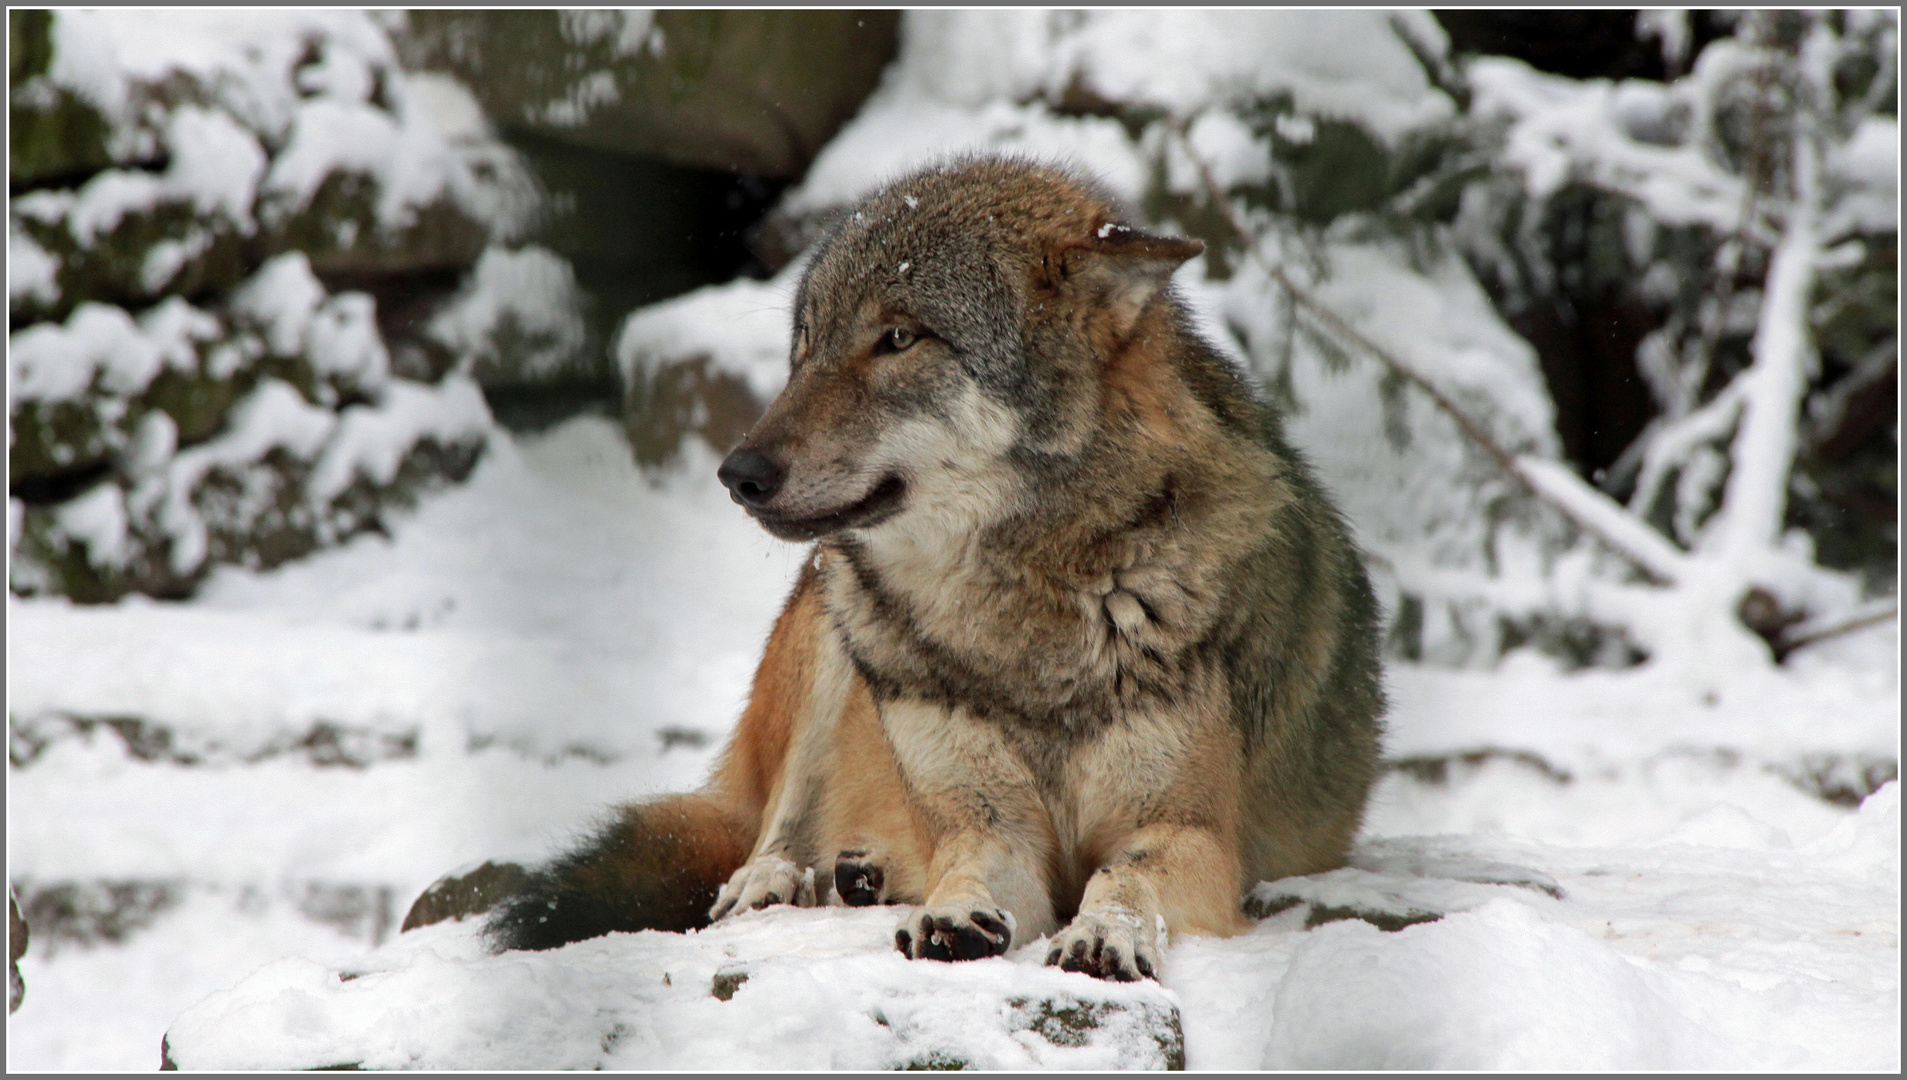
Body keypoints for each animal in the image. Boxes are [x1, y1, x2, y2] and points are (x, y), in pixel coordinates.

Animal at [446, 158, 1388, 984]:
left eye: (897, 338)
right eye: (805, 345)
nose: (737, 472)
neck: (1019, 615)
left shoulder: (1192, 834)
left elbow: (1123, 880)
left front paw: (1105, 934)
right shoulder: (991, 827)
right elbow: (967, 865)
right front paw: (952, 913)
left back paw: (860, 873)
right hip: (835, 617)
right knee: (763, 832)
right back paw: (779, 883)